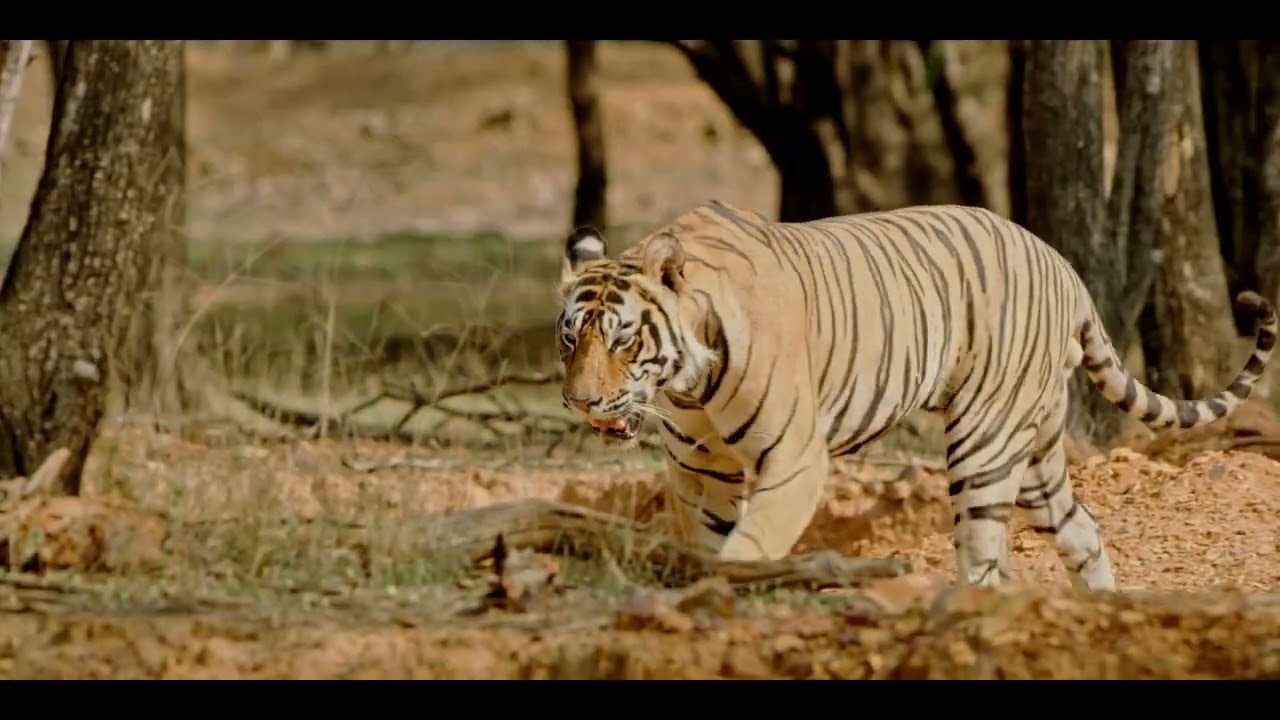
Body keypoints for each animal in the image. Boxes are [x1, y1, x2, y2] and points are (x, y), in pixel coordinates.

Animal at [553, 200, 1277, 592]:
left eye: (622, 341)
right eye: (569, 340)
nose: (583, 403)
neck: (687, 383)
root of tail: (1063, 264)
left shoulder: (792, 458)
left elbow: (752, 544)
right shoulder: (698, 469)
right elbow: (708, 541)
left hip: (986, 438)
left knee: (986, 558)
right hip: (1037, 452)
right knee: (1082, 529)